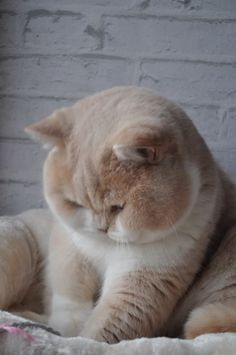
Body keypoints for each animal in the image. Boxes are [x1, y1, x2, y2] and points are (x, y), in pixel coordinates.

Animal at [24, 87, 236, 344]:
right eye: (75, 204)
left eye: (118, 207)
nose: (101, 228)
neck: (105, 248)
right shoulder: (70, 245)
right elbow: (69, 291)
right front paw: (66, 329)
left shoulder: (145, 280)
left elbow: (107, 327)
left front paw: (82, 341)